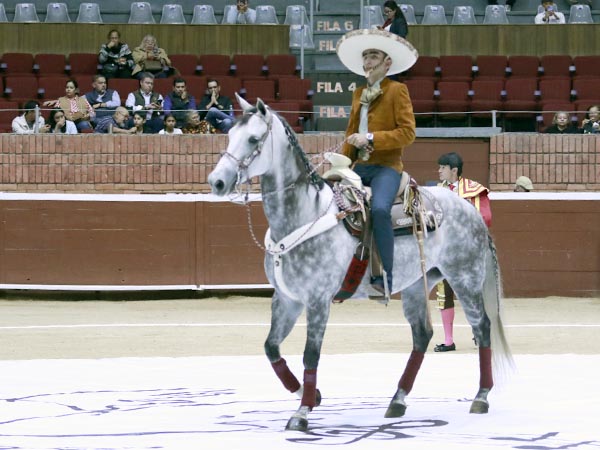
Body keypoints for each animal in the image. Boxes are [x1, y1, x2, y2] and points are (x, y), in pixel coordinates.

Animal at [209, 97, 512, 432]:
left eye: (253, 139)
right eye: (228, 135)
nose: (217, 181)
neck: (303, 215)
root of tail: (470, 210)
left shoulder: (317, 301)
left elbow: (310, 355)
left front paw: (302, 413)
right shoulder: (287, 298)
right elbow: (271, 348)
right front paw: (311, 397)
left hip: (465, 278)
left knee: (482, 327)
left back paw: (481, 396)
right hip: (417, 285)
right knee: (422, 335)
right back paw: (397, 400)